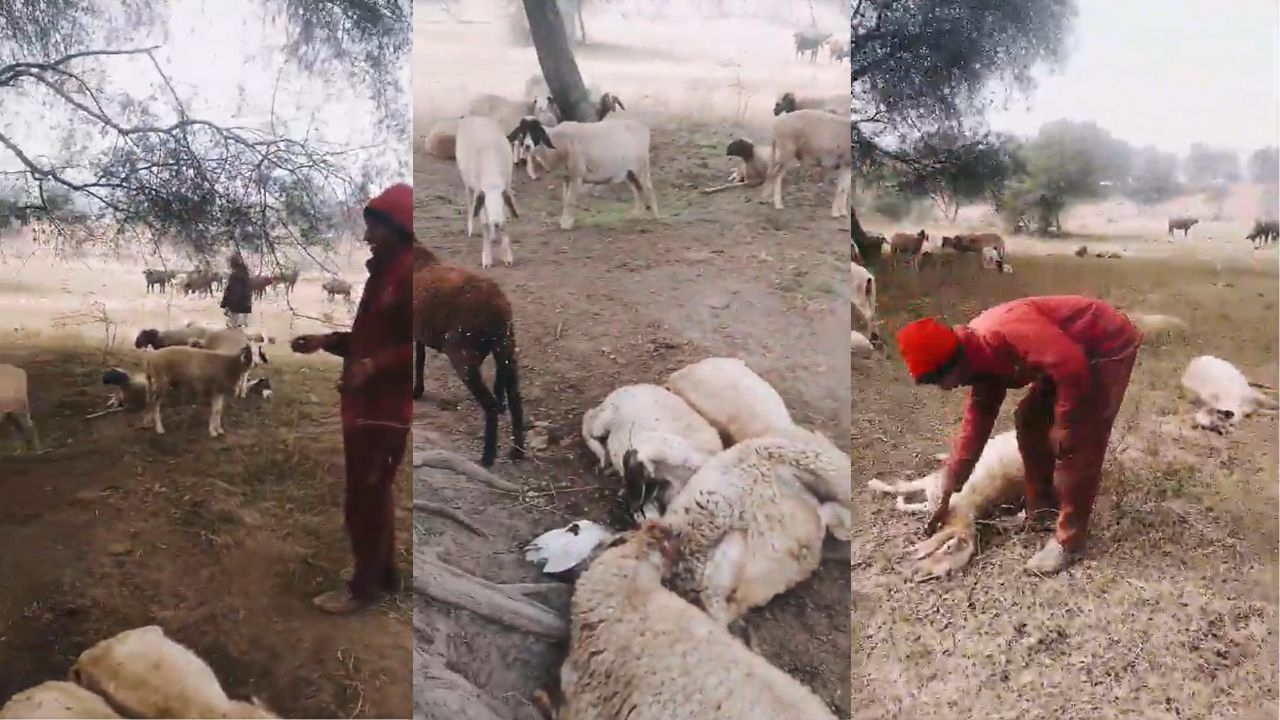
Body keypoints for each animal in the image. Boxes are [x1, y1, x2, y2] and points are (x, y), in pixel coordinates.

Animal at [413, 245, 525, 467]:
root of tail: (497, 305)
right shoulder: (418, 332)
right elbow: (419, 360)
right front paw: (417, 391)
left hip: (463, 357)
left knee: (491, 405)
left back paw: (487, 458)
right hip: (506, 349)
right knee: (515, 399)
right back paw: (517, 452)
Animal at [456, 115, 521, 269]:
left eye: (501, 202)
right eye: (487, 203)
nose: (496, 222)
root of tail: (474, 117)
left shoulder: (506, 189)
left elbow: (506, 224)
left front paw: (508, 258)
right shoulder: (479, 193)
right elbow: (484, 225)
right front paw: (486, 261)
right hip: (467, 183)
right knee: (469, 203)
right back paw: (471, 229)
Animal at [509, 117, 659, 231]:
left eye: (536, 131)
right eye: (522, 131)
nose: (527, 146)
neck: (559, 142)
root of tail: (643, 128)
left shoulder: (577, 174)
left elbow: (569, 201)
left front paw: (566, 224)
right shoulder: (567, 176)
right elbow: (565, 199)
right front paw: (566, 220)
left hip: (641, 167)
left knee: (649, 189)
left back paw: (655, 216)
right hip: (629, 172)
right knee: (637, 190)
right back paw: (637, 214)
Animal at [868, 429, 1025, 580]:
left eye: (947, 570)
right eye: (948, 546)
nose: (917, 571)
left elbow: (911, 503)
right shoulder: (936, 485)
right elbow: (901, 488)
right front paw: (875, 484)